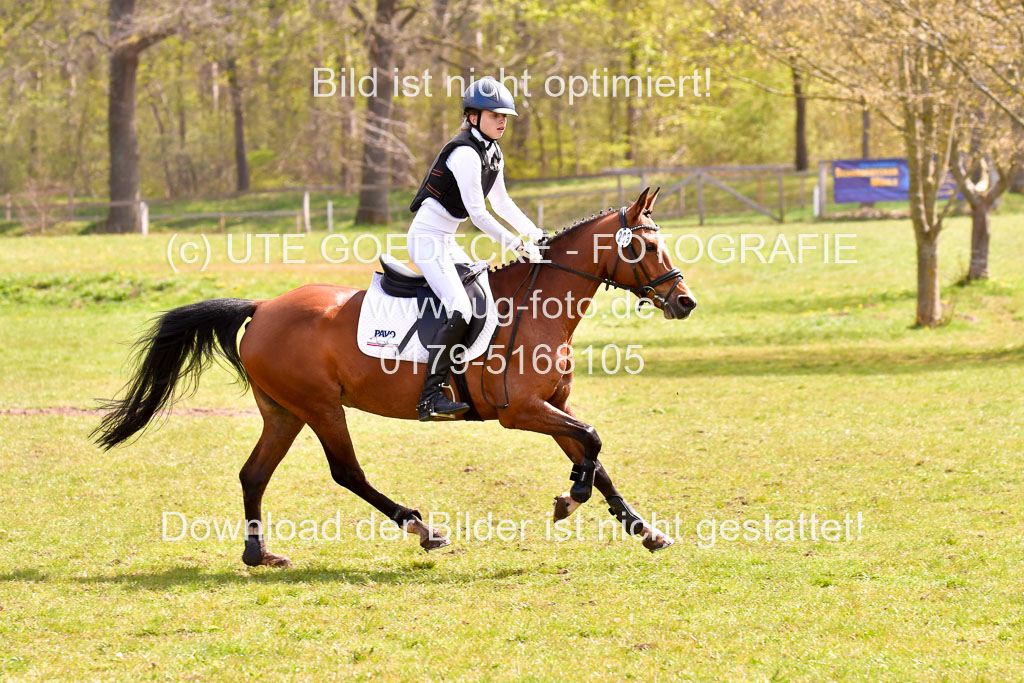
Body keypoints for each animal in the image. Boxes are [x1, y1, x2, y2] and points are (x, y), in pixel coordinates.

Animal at [94, 187, 696, 565]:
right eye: (645, 246)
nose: (684, 302)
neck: (540, 306)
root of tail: (262, 307)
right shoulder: (521, 412)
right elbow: (592, 442)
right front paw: (570, 499)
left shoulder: (554, 406)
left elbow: (595, 456)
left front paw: (643, 529)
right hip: (320, 407)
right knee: (346, 472)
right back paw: (421, 528)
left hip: (283, 412)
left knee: (253, 474)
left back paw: (257, 554)